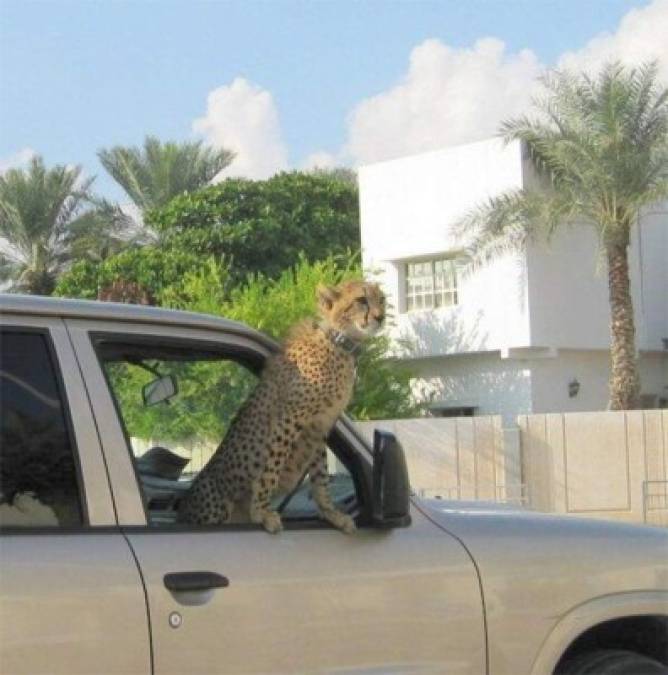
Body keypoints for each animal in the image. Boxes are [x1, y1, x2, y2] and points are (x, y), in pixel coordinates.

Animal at [177, 280, 386, 532]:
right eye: (361, 300)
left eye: (382, 300)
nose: (381, 317)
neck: (339, 343)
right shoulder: (290, 418)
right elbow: (272, 467)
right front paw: (262, 512)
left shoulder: (319, 426)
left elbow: (320, 475)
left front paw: (330, 513)